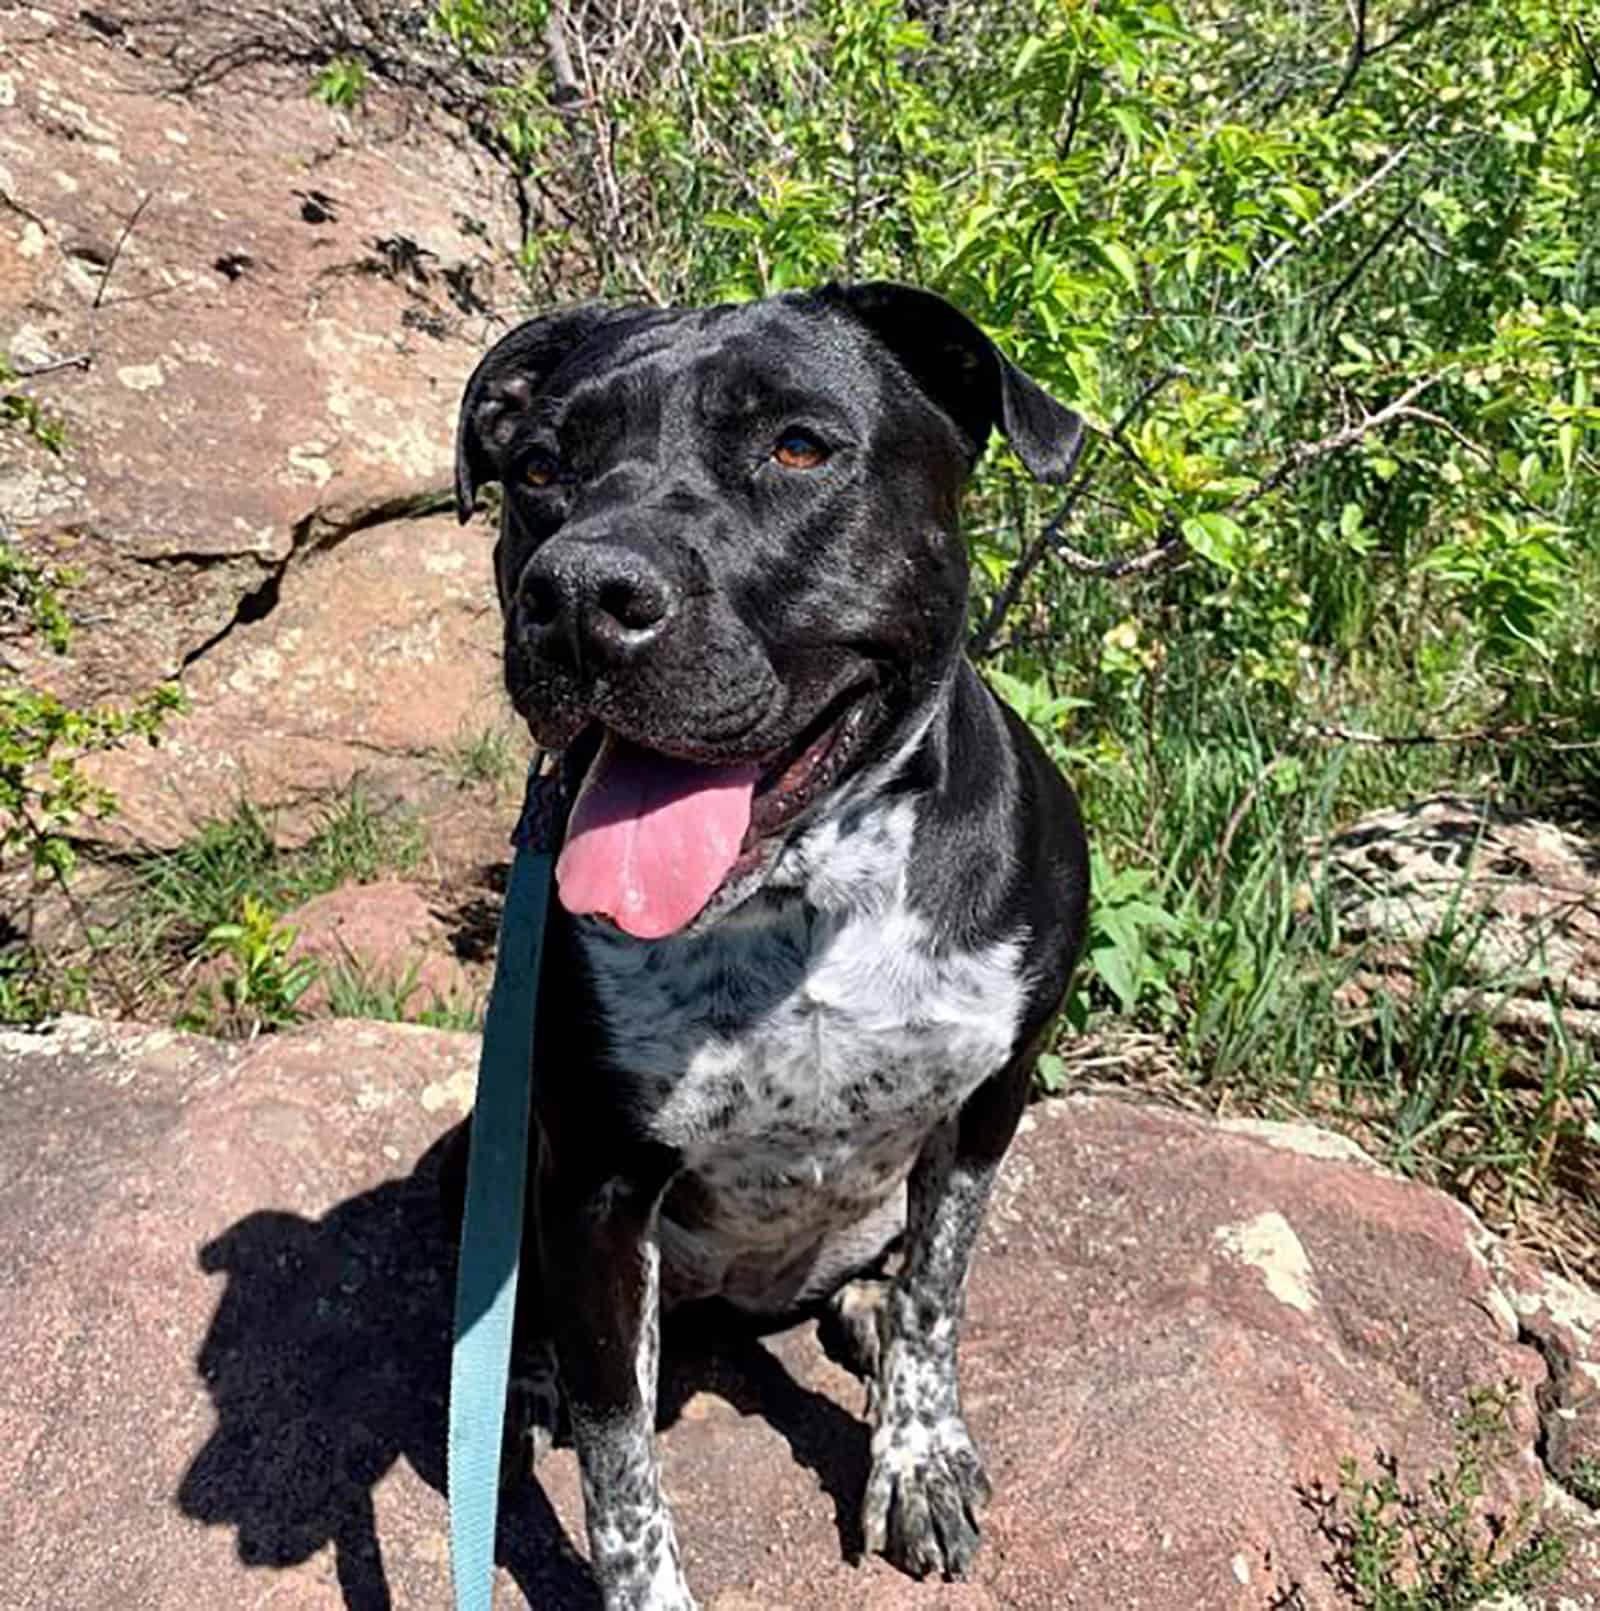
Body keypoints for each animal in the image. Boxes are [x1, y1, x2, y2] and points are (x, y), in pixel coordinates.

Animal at [454, 283, 1095, 1604]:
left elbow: (940, 1294)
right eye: (539, 468)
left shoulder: (990, 1098)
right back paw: (531, 1376)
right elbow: (620, 1455)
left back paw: (861, 1310)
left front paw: (917, 1454)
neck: (803, 896)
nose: (578, 594)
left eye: (798, 447)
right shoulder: (594, 1183)